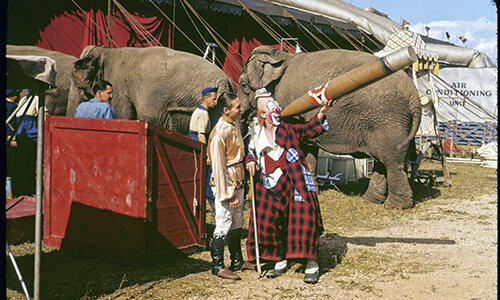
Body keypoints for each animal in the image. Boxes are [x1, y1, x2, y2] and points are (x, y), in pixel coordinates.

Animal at [238, 45, 422, 210]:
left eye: (242, 85)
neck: (281, 57)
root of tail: (414, 97)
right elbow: (308, 148)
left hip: (388, 120)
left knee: (392, 161)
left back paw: (396, 206)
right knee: (382, 160)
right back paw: (371, 200)